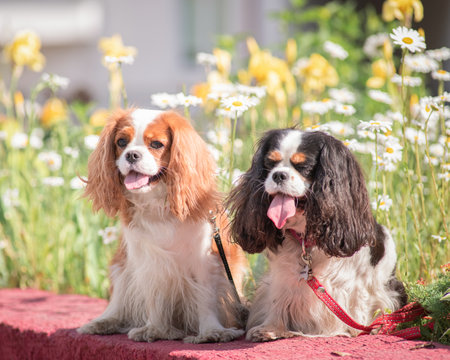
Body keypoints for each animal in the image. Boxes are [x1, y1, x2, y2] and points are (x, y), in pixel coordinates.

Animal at [77, 109, 246, 344]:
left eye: (156, 144)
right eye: (121, 142)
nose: (132, 155)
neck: (157, 204)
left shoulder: (205, 262)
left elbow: (205, 298)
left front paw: (211, 332)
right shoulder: (148, 261)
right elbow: (153, 296)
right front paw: (155, 329)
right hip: (121, 269)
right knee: (117, 305)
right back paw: (103, 322)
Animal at [227, 129, 406, 340]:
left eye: (303, 166)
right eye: (270, 163)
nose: (278, 175)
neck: (305, 237)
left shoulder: (355, 284)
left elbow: (357, 304)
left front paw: (358, 330)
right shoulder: (280, 278)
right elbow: (277, 301)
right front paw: (272, 328)